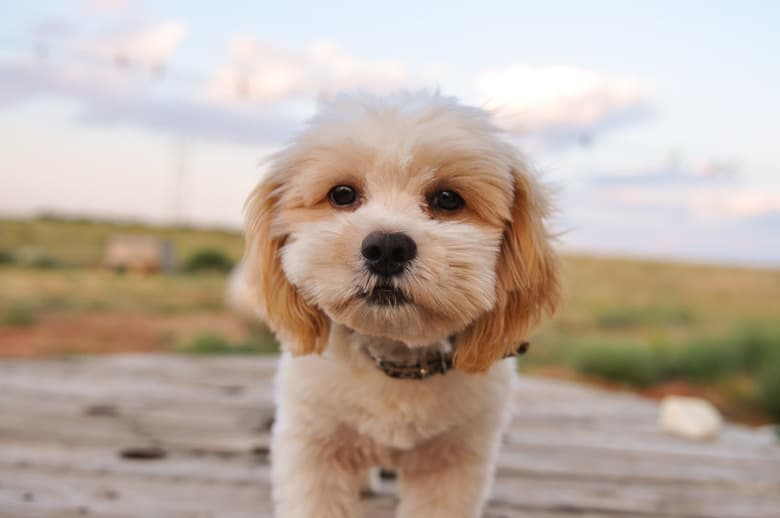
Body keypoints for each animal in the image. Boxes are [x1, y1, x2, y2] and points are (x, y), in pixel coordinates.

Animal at [244, 91, 560, 516]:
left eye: (448, 199)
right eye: (342, 194)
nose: (387, 247)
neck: (396, 361)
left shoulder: (454, 464)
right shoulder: (313, 449)